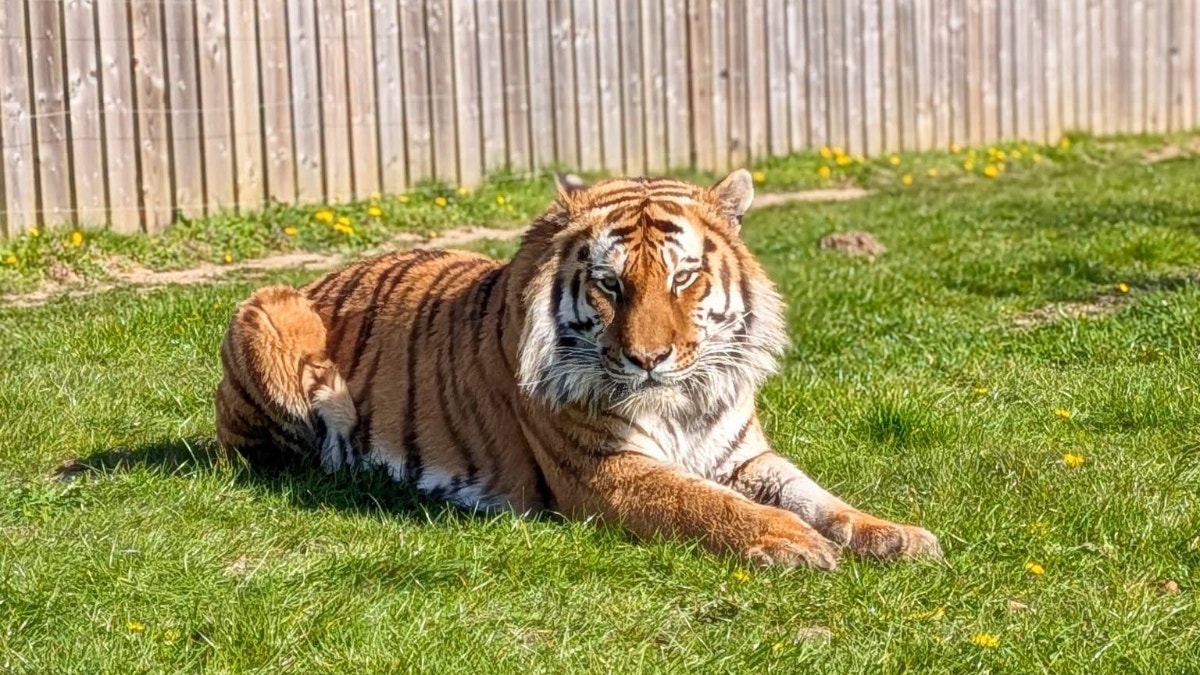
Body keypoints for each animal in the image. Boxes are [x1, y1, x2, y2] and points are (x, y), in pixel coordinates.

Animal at [215, 170, 941, 569]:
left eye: (683, 278)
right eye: (609, 285)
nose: (649, 360)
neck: (683, 399)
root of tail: (321, 277)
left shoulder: (745, 456)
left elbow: (821, 498)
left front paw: (897, 536)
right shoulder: (607, 470)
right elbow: (704, 502)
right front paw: (794, 543)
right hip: (270, 314)